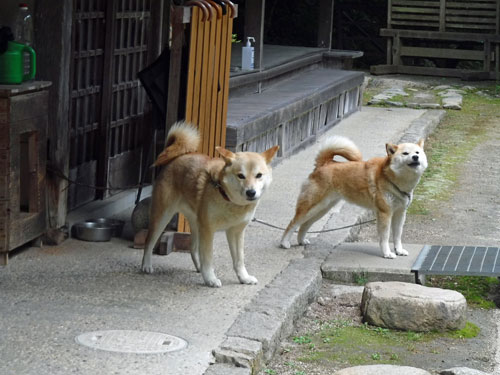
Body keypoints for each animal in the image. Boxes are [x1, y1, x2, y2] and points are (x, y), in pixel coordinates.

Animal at [143, 120, 280, 288]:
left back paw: (199, 268)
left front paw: (244, 277)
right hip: (163, 216)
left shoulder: (236, 231)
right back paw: (146, 265)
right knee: (149, 241)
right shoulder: (209, 230)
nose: (251, 192)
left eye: (259, 175)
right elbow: (208, 258)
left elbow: (239, 260)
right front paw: (210, 278)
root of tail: (177, 158)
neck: (227, 198)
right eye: (241, 176)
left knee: (193, 248)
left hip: (196, 223)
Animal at [280, 136, 428, 258]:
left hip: (322, 209)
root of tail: (325, 163)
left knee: (304, 225)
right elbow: (385, 237)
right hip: (311, 206)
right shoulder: (385, 213)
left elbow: (397, 236)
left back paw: (301, 241)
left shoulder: (399, 213)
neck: (393, 179)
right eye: (405, 153)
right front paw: (387, 253)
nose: (415, 157)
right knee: (293, 223)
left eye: (417, 152)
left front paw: (399, 250)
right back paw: (284, 243)